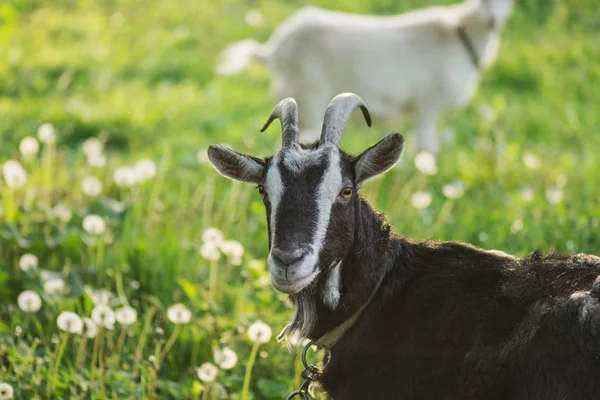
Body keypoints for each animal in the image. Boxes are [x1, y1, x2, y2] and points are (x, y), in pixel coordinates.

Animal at [218, 0, 512, 154]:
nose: (494, 21)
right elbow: (427, 149)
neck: (459, 35)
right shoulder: (428, 106)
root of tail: (273, 50)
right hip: (309, 94)